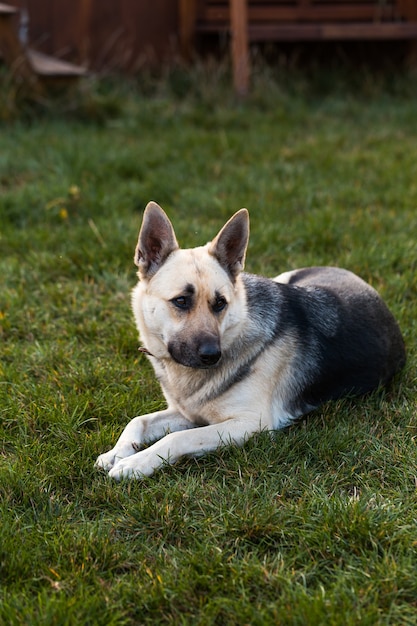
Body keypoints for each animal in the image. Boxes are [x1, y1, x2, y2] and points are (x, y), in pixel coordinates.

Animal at [95, 200, 404, 478]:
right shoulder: (187, 413)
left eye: (220, 303)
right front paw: (117, 453)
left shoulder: (248, 423)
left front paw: (136, 463)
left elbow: (179, 438)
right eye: (181, 301)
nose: (212, 356)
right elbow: (138, 421)